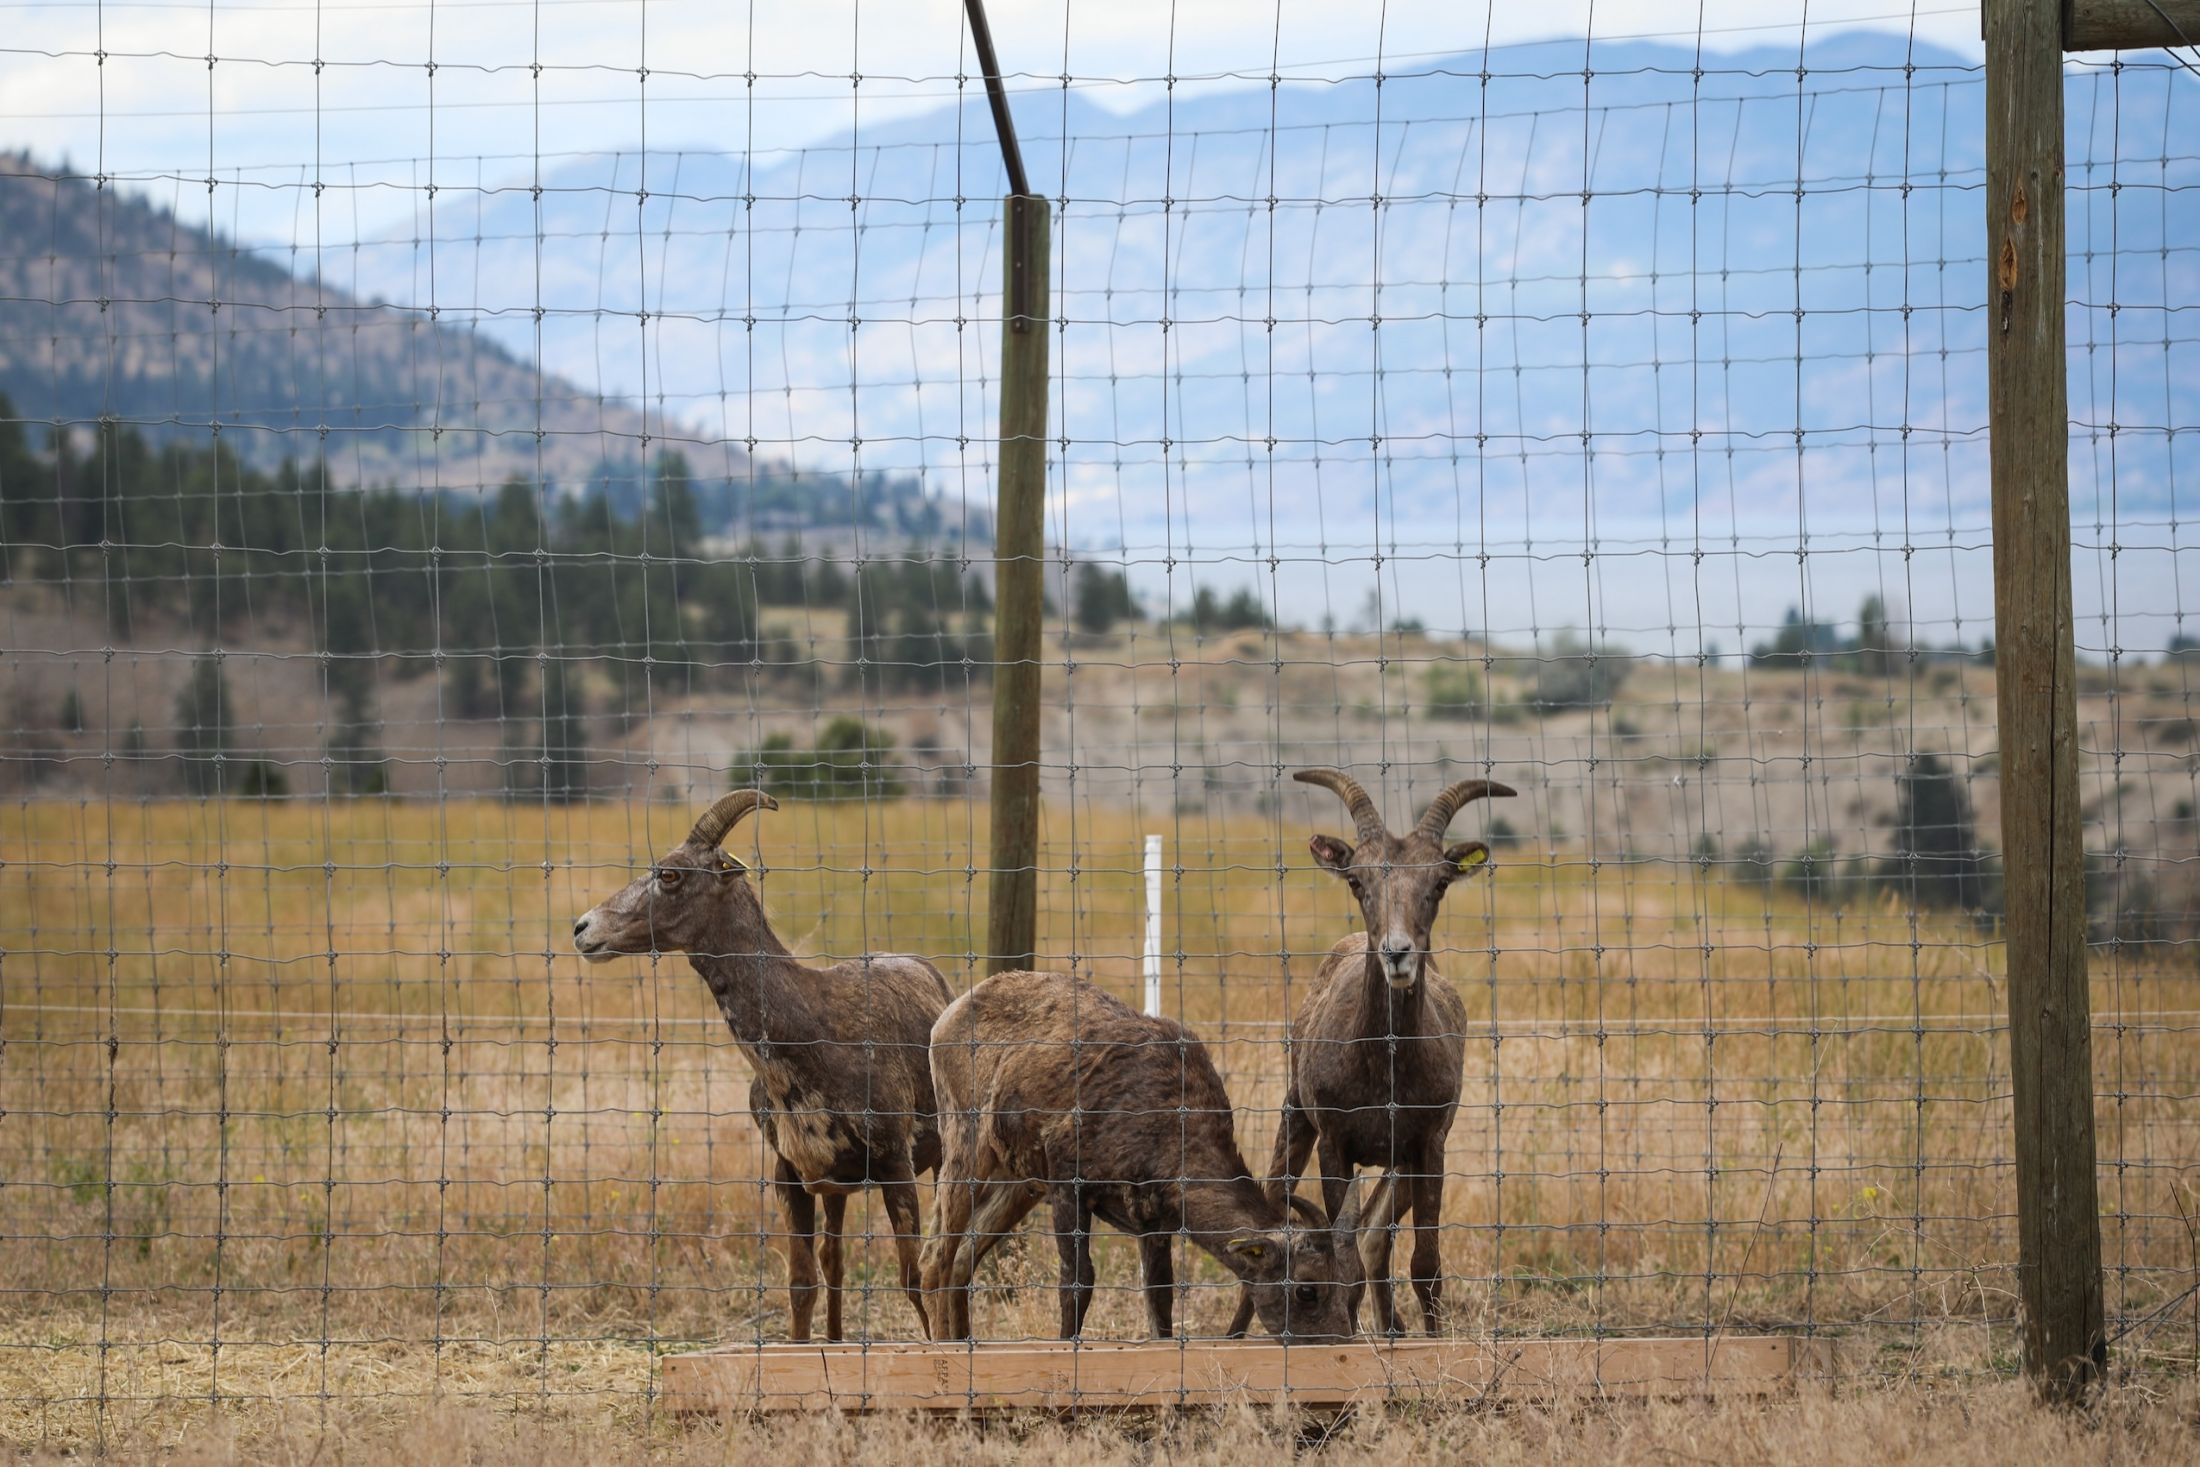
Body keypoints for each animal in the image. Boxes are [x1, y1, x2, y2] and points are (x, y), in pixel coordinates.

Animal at [572, 789, 949, 1341]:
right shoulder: (791, 1174)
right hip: (836, 1192)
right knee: (834, 1260)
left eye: (670, 874)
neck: (816, 1034)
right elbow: (802, 1283)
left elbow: (915, 1279)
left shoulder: (896, 1165)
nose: (583, 929)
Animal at [920, 968, 1354, 1343]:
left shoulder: (1153, 1221)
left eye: (1341, 1282)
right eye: (1307, 1289)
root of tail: (944, 1018)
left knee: (961, 1258)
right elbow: (1077, 1281)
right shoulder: (1068, 1182)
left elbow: (1160, 1299)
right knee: (935, 1256)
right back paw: (942, 1345)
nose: (1339, 1341)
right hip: (965, 1144)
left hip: (1019, 1182)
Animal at [1228, 767, 1515, 1338]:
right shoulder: (1335, 1146)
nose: (1397, 953)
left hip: (1396, 1167)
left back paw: (1393, 1329)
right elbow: (1346, 1263)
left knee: (1380, 1238)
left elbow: (1424, 1264)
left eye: (1439, 883)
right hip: (1295, 1121)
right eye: (1357, 881)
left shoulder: (1427, 1147)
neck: (1384, 1071)